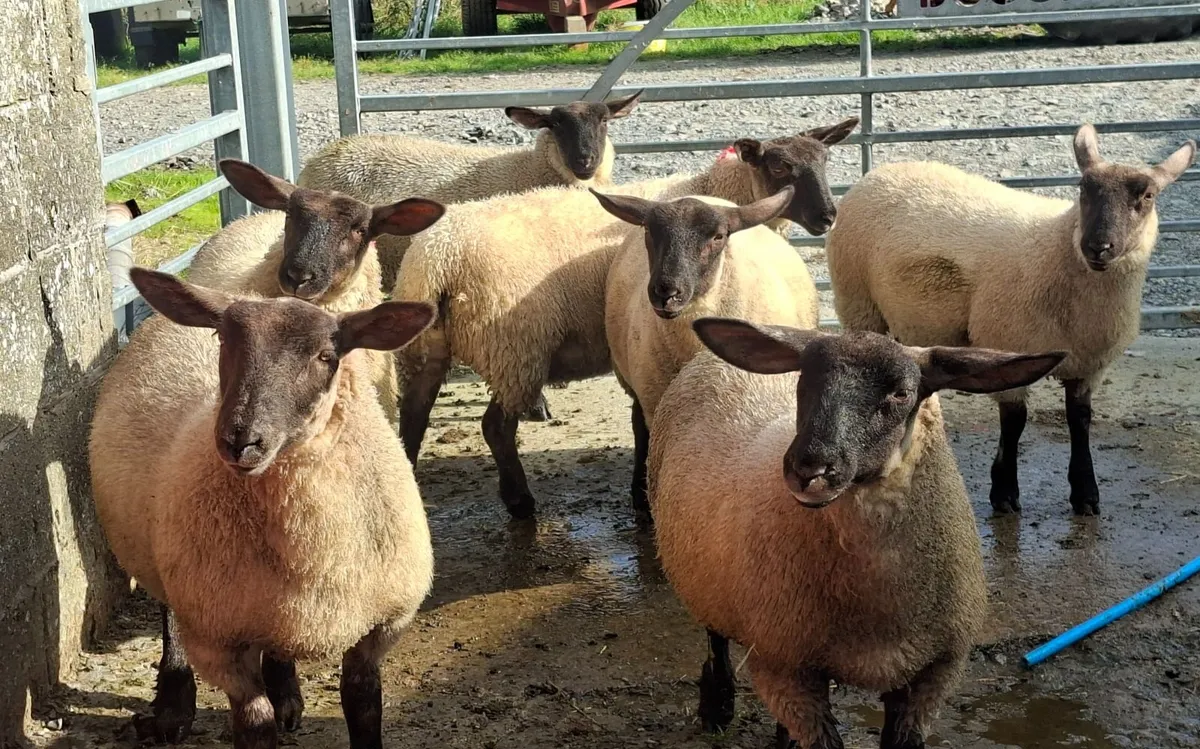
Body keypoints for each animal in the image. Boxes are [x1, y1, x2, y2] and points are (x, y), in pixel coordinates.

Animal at [88, 267, 437, 748]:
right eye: (221, 338)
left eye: (327, 355)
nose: (240, 440)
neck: (314, 554)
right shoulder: (219, 642)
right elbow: (255, 724)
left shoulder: (380, 628)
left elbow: (364, 707)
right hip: (165, 560)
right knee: (170, 616)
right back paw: (173, 707)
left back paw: (286, 693)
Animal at [651, 317, 1065, 748]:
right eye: (803, 380)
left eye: (902, 393)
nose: (809, 469)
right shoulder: (784, 668)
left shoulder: (931, 676)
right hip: (705, 582)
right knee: (715, 640)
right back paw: (717, 708)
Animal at [825, 124, 1196, 517]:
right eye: (1083, 189)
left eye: (1148, 195)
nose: (1098, 247)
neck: (1057, 249)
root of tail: (878, 173)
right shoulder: (1008, 342)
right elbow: (1014, 422)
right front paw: (1004, 492)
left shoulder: (1089, 364)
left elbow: (1080, 420)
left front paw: (1085, 493)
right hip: (858, 302)